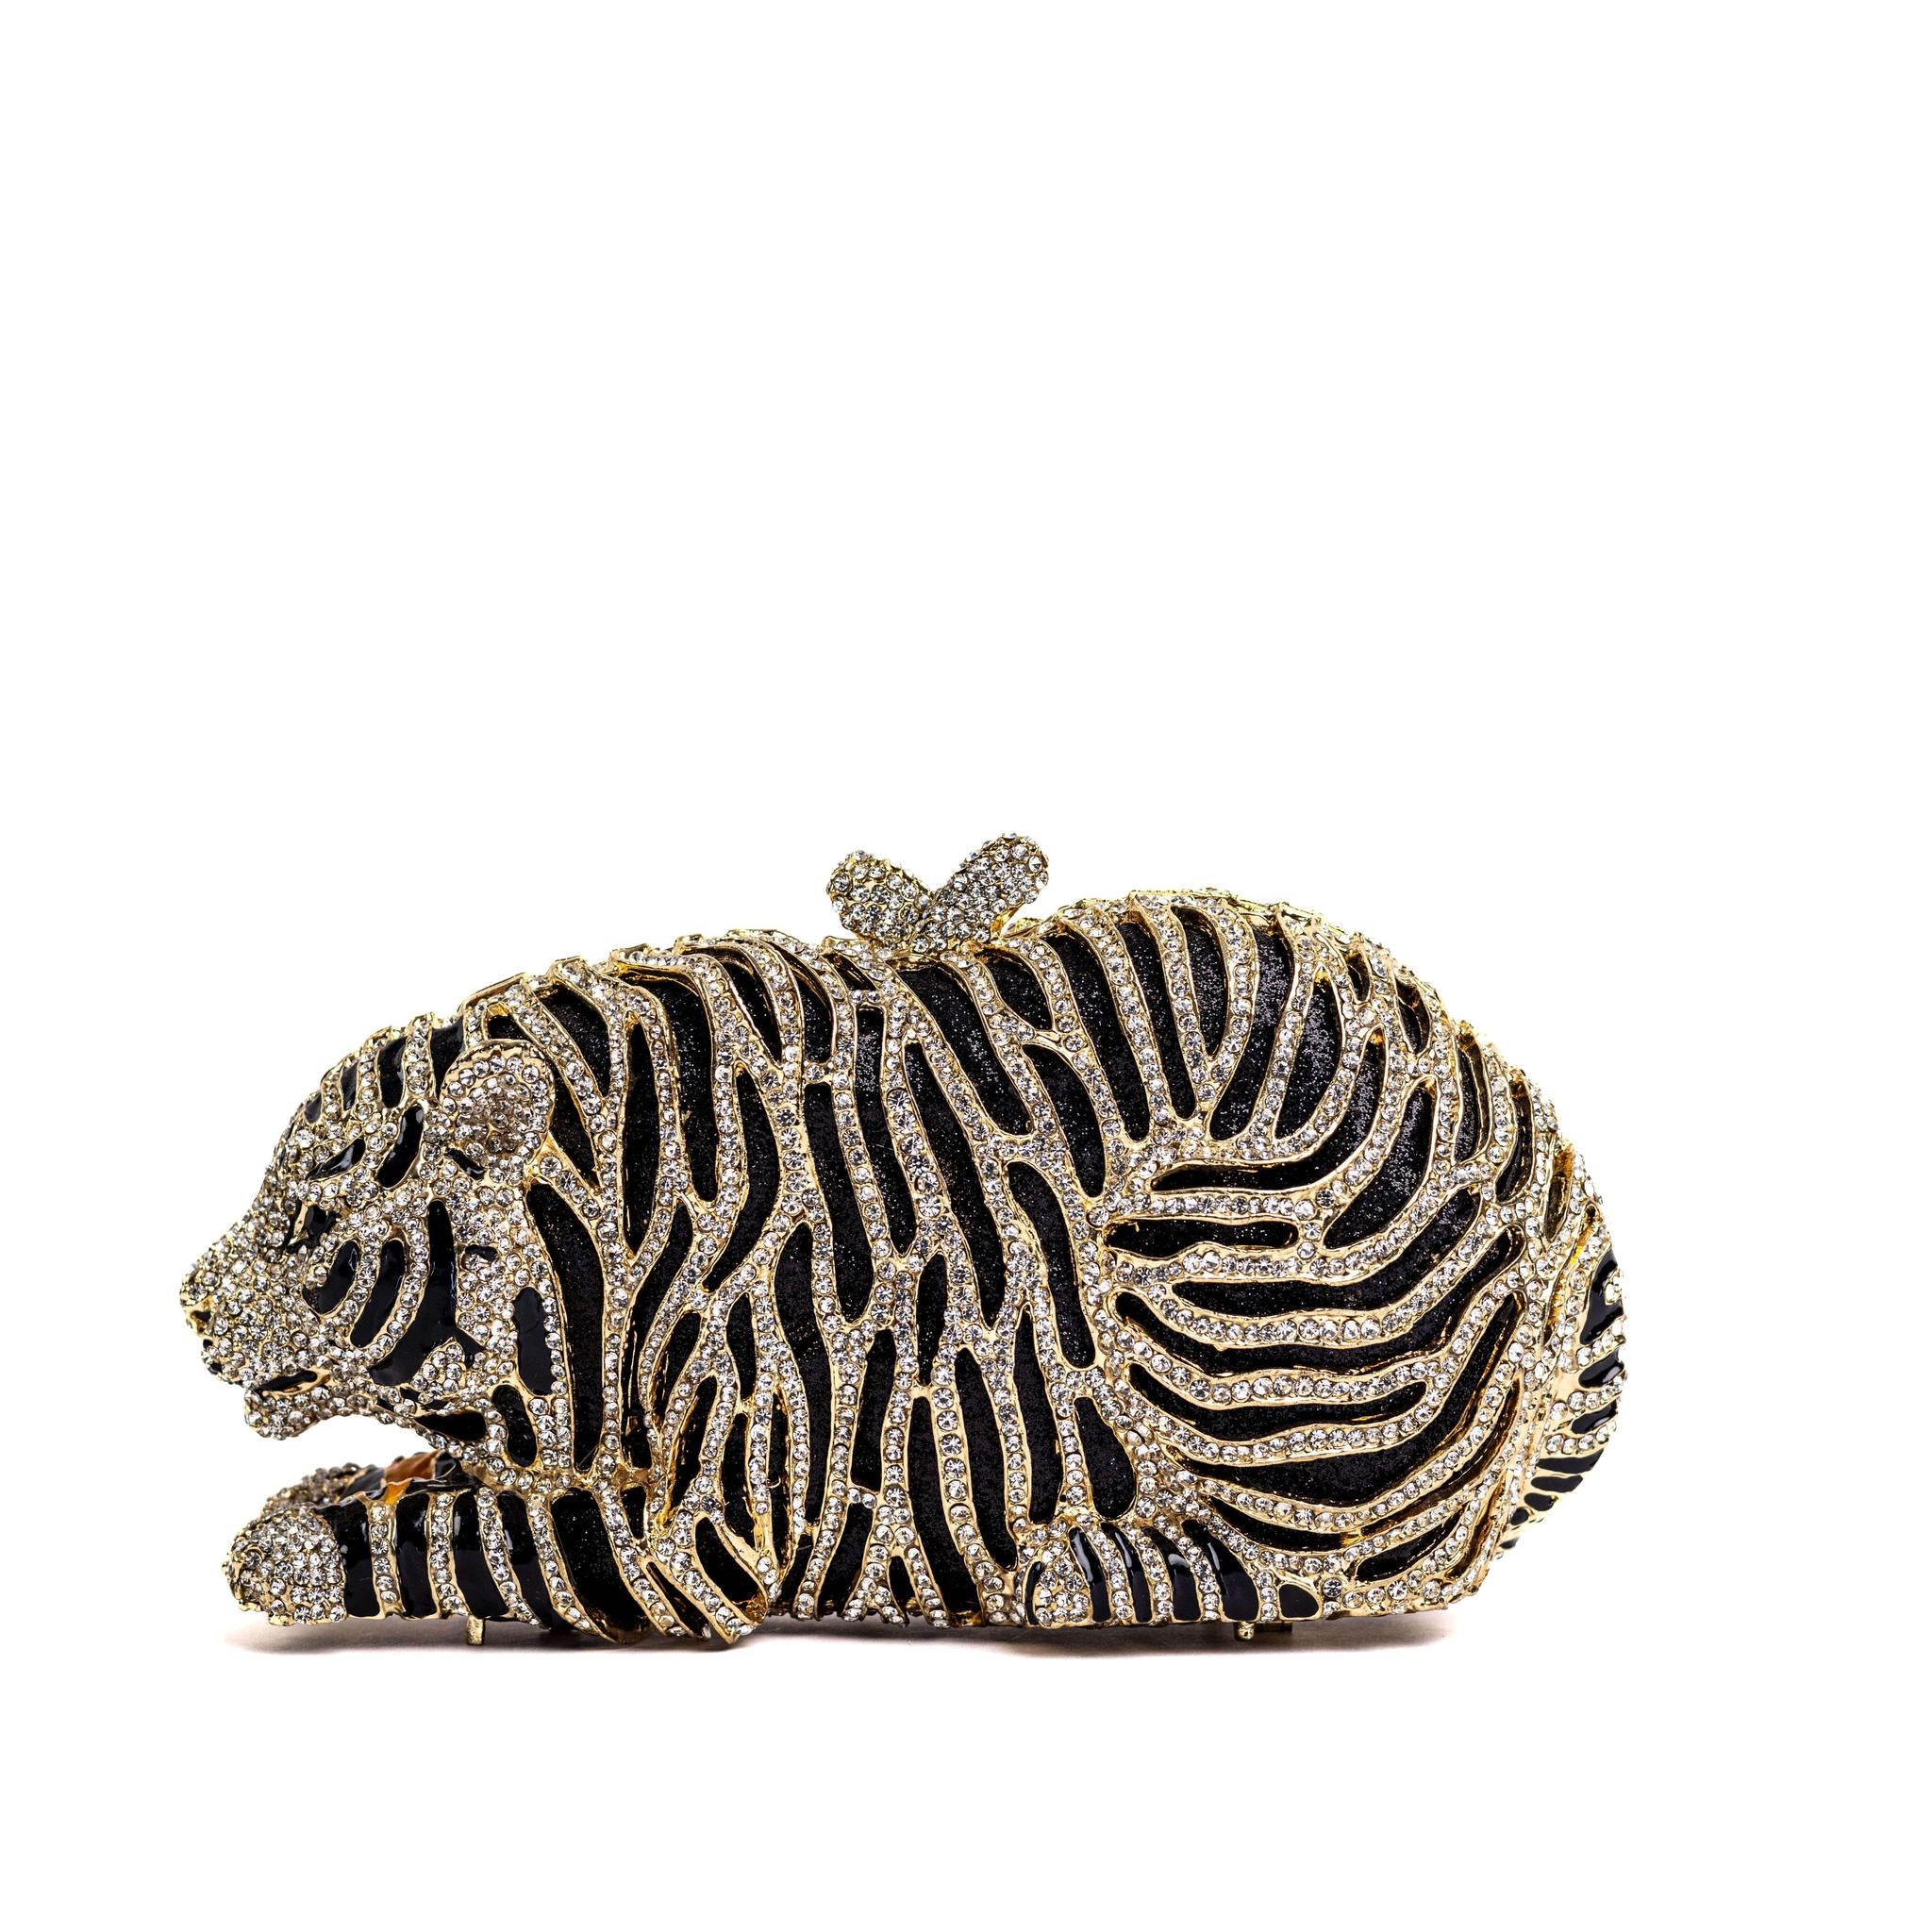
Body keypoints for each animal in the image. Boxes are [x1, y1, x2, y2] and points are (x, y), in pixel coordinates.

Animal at [185, 839, 1623, 1642]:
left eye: (306, 1218)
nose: (195, 1303)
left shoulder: (702, 1534)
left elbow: (472, 1540)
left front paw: (294, 1546)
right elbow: (417, 1490)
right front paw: (347, 1490)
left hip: (1225, 1276)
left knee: (1303, 1559)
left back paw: (1075, 1570)